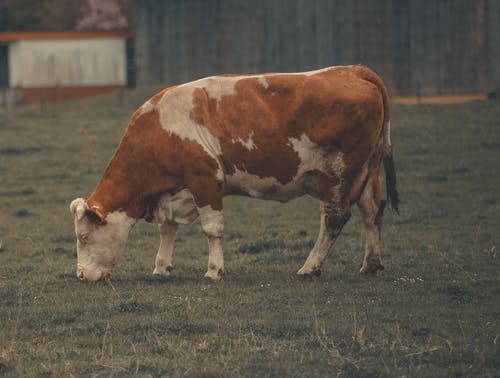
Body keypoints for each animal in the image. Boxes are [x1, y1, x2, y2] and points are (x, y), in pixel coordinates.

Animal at [70, 65, 398, 282]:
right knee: (372, 211)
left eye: (84, 237)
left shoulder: (205, 181)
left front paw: (214, 270)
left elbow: (211, 229)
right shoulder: (176, 191)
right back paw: (371, 264)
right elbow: (168, 229)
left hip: (336, 173)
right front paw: (162, 266)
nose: (81, 275)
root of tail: (352, 71)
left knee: (333, 218)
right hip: (366, 170)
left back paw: (310, 267)